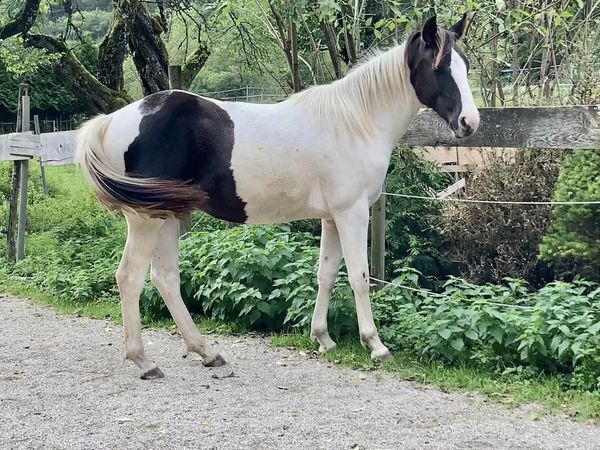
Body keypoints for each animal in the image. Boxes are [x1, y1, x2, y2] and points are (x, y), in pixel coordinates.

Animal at [76, 15, 478, 378]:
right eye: (440, 67)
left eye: (466, 65)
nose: (470, 123)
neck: (355, 121)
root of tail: (113, 120)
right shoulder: (352, 213)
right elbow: (359, 277)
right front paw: (375, 345)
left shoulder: (331, 217)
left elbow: (326, 274)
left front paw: (323, 338)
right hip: (146, 219)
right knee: (130, 277)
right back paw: (144, 361)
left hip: (168, 216)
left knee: (165, 279)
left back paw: (206, 352)